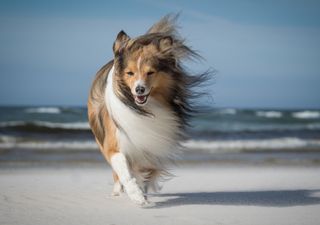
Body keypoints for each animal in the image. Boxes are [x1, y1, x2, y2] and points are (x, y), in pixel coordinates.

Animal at [87, 14, 209, 206]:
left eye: (150, 72)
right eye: (129, 73)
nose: (139, 89)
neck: (143, 109)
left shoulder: (150, 146)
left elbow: (146, 171)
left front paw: (142, 191)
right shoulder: (114, 144)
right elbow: (125, 172)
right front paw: (136, 195)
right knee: (117, 173)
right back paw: (118, 191)